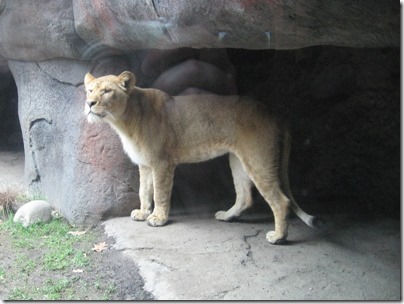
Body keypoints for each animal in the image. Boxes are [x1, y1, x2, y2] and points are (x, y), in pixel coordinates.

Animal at [84, 71, 318, 245]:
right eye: (90, 90)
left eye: (106, 91)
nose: (89, 103)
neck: (124, 121)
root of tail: (276, 113)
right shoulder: (145, 163)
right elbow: (144, 190)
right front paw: (142, 213)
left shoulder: (161, 162)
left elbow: (159, 193)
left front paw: (158, 218)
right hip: (238, 159)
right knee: (245, 196)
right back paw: (227, 216)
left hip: (258, 159)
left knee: (281, 201)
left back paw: (278, 237)